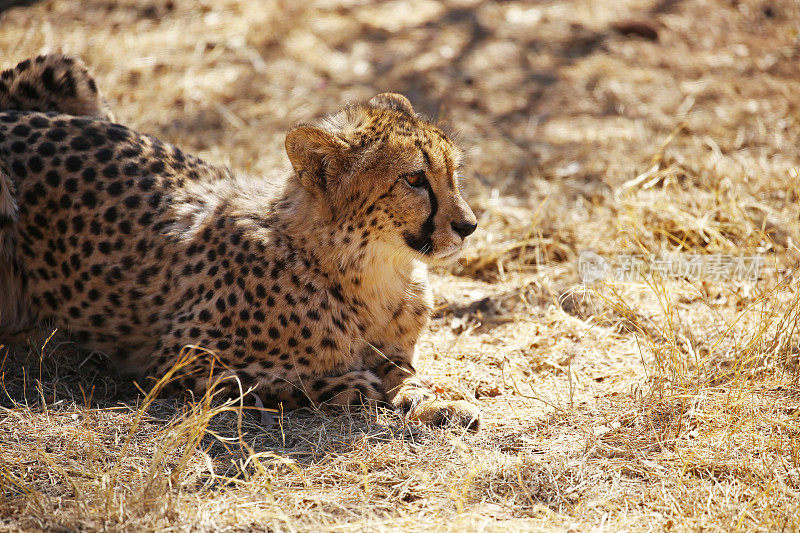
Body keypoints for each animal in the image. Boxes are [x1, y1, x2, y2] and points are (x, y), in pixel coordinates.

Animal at [0, 54, 482, 428]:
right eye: (415, 179)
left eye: (453, 172)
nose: (469, 225)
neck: (371, 271)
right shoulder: (173, 361)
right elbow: (268, 380)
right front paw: (348, 384)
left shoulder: (394, 350)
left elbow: (407, 372)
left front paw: (438, 400)